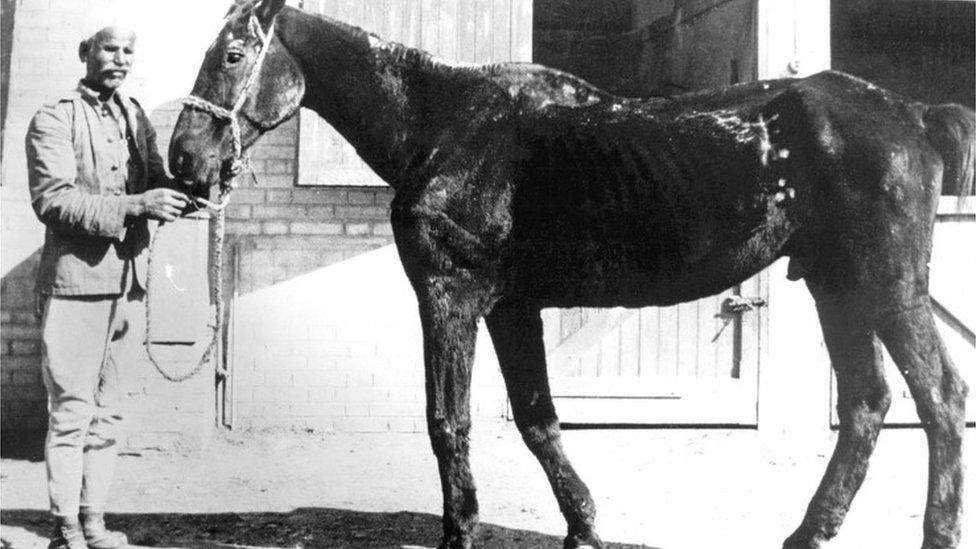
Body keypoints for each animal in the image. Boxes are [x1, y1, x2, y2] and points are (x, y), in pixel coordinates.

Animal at [172, 1, 972, 548]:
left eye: (235, 54)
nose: (183, 158)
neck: (449, 128)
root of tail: (914, 114)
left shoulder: (450, 298)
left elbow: (448, 419)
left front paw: (459, 530)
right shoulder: (510, 308)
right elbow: (537, 420)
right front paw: (582, 523)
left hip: (889, 290)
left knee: (938, 398)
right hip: (839, 289)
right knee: (868, 403)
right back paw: (808, 531)